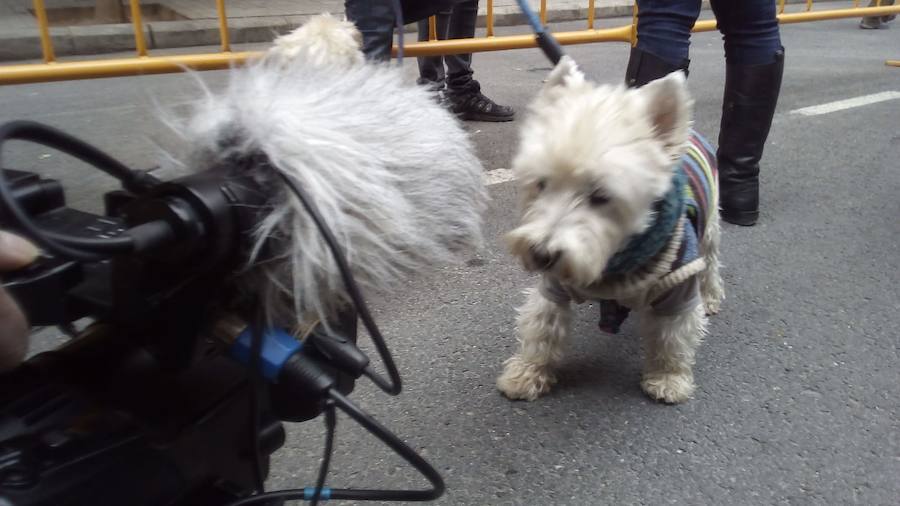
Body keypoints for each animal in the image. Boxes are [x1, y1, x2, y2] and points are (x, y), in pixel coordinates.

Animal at [496, 56, 728, 404]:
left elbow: (673, 337)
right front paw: (527, 373)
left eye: (601, 196)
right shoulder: (553, 286)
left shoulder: (679, 283)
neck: (617, 260)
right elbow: (542, 327)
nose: (540, 254)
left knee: (712, 262)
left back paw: (712, 296)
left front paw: (669, 379)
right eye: (541, 184)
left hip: (710, 226)